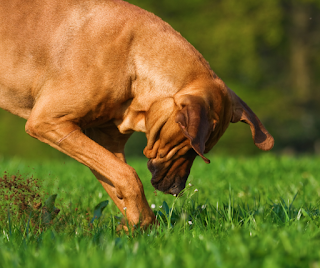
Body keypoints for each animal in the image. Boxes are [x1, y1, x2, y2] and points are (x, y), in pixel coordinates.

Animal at [0, 0, 276, 228]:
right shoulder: (49, 122)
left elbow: (117, 180)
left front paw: (137, 226)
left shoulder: (105, 142)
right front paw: (142, 223)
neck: (134, 61)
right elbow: (129, 175)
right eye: (189, 148)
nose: (177, 189)